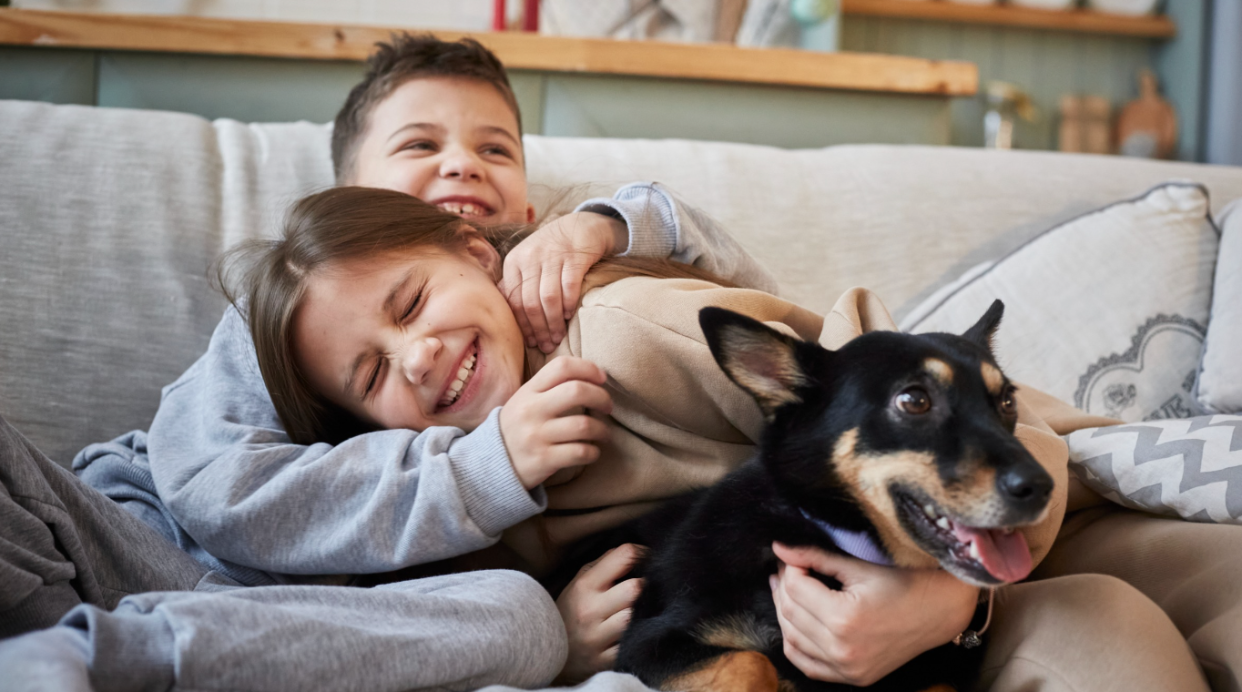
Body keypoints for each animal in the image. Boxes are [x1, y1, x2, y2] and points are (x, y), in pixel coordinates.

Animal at [603, 300, 1058, 690]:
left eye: (1007, 401)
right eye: (914, 400)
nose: (1044, 488)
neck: (828, 532)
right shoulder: (646, 645)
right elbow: (752, 662)